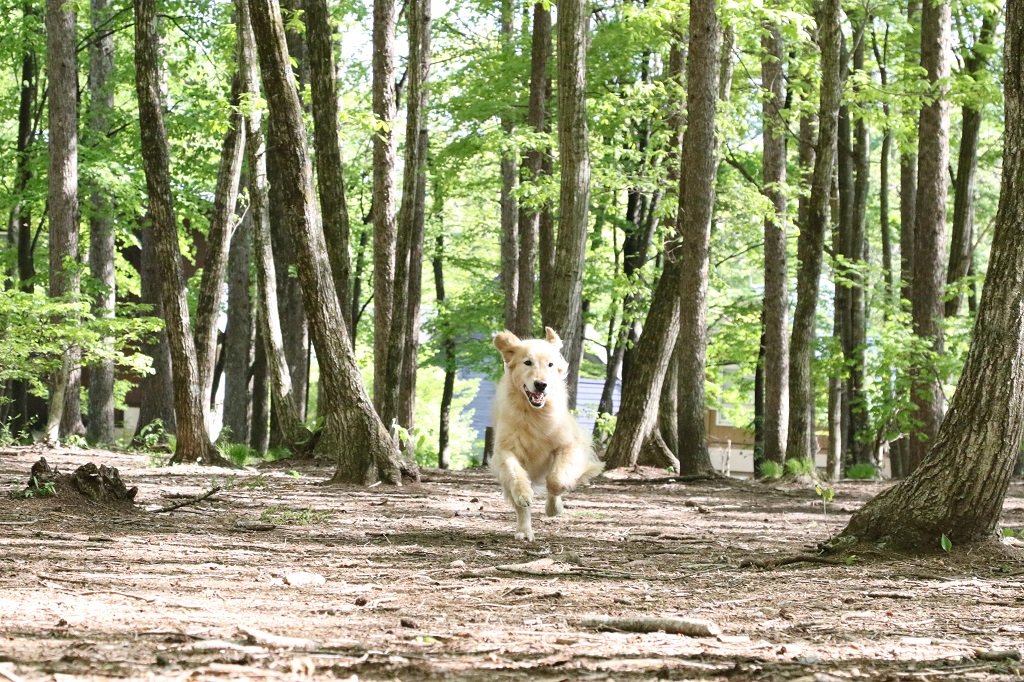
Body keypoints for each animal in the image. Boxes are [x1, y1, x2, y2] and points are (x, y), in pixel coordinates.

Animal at [489, 327, 602, 540]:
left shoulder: (568, 445)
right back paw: (524, 530)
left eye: (550, 364)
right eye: (527, 362)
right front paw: (524, 493)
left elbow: (556, 480)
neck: (535, 413)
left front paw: (554, 507)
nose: (541, 384)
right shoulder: (506, 449)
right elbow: (515, 473)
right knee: (520, 506)